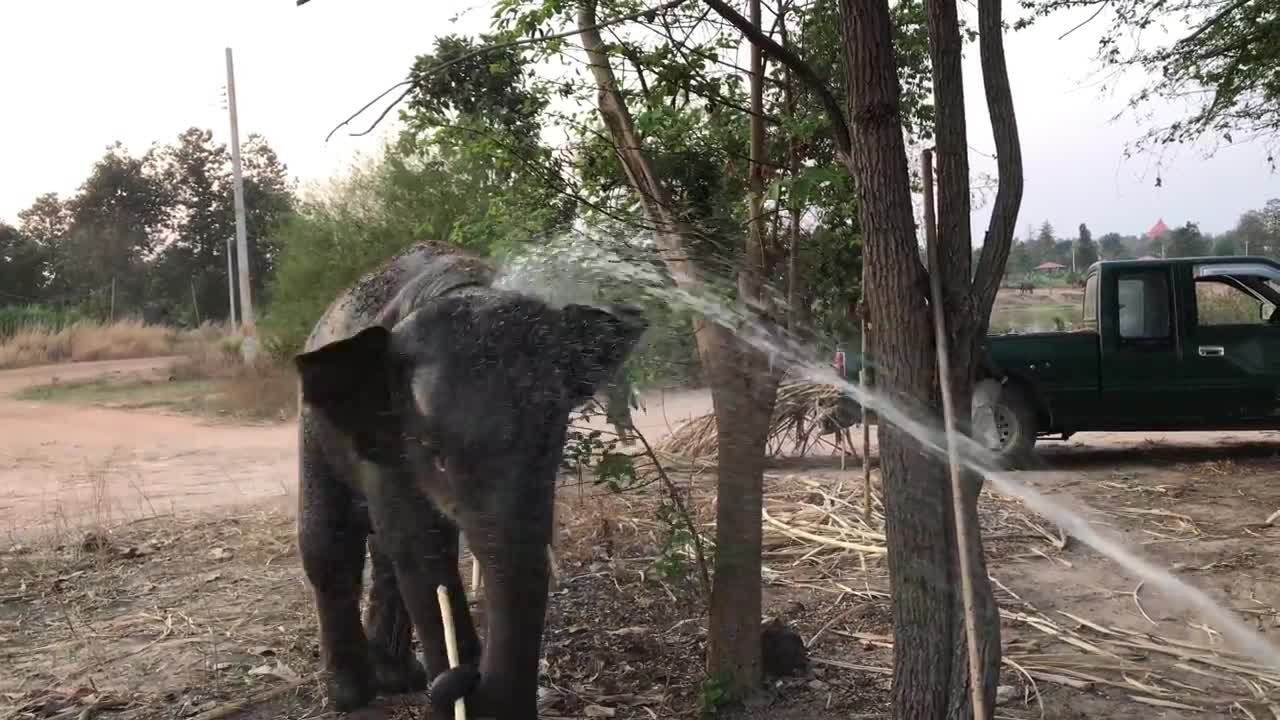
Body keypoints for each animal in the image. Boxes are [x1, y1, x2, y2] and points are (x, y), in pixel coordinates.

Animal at [292, 240, 648, 719]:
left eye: (551, 443)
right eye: (437, 456)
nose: (468, 679)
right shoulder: (390, 437)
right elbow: (420, 548)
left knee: (381, 550)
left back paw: (400, 679)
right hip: (314, 429)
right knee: (328, 540)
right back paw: (352, 695)